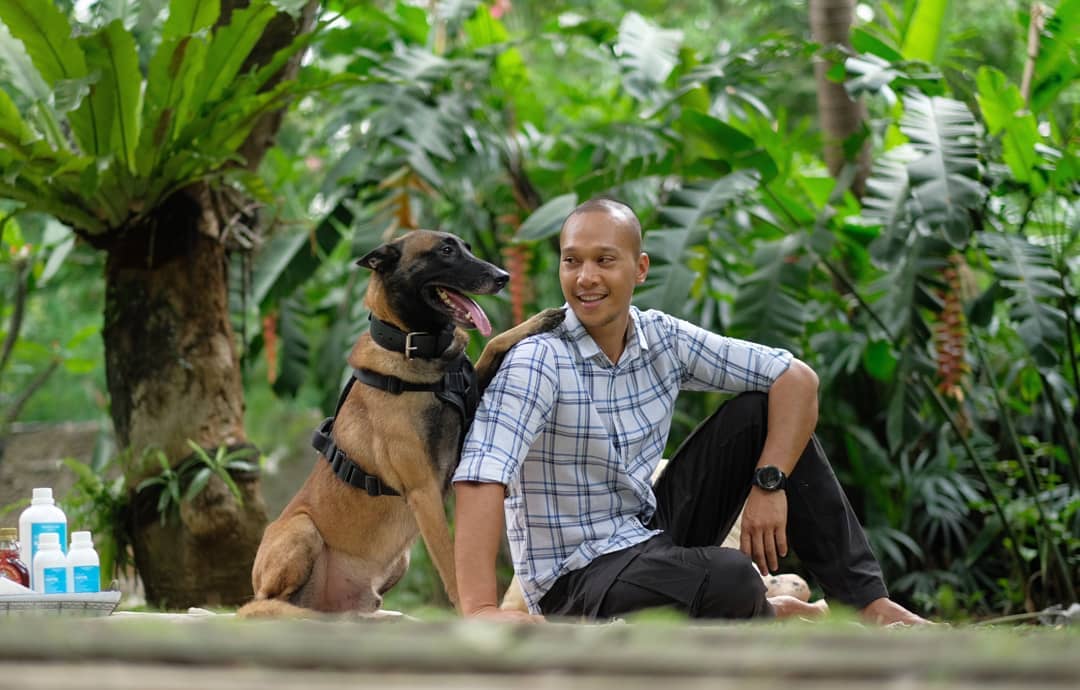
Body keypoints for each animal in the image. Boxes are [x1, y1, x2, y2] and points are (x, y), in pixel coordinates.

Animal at [240, 228, 565, 617]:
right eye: (445, 250)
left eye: (467, 247)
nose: (503, 277)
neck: (417, 351)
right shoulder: (424, 491)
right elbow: (452, 564)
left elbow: (492, 344)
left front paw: (539, 319)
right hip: (301, 530)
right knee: (262, 604)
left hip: (399, 562)